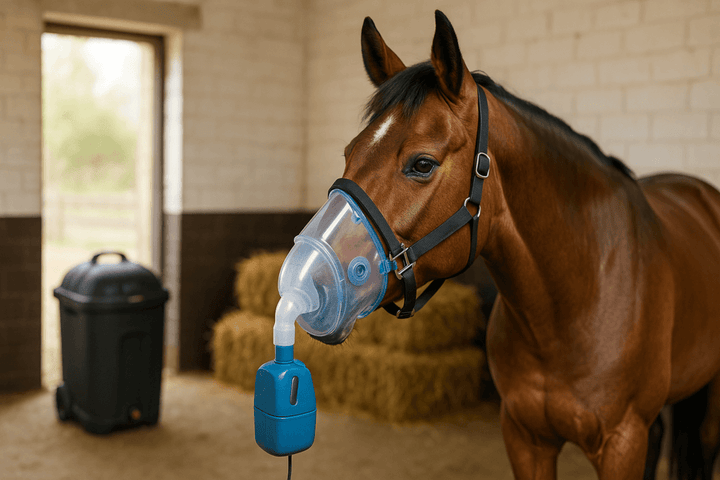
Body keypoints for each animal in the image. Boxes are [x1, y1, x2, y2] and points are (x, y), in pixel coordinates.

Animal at [329, 10, 720, 480]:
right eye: (350, 152)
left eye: (422, 164)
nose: (313, 276)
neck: (572, 302)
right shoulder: (525, 438)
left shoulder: (622, 443)